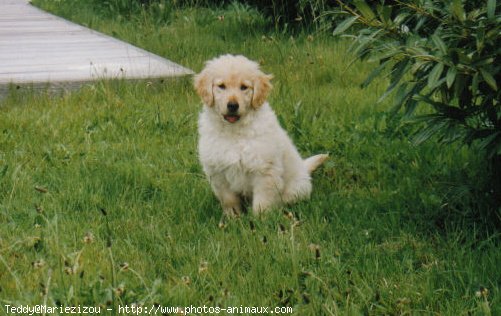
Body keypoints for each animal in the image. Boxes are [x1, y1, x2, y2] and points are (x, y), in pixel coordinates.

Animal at [194, 55, 328, 217]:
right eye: (221, 86)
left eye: (244, 87)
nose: (233, 105)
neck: (234, 132)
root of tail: (304, 169)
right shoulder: (217, 172)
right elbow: (229, 200)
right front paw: (233, 218)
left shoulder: (264, 171)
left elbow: (262, 202)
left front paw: (260, 220)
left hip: (295, 190)